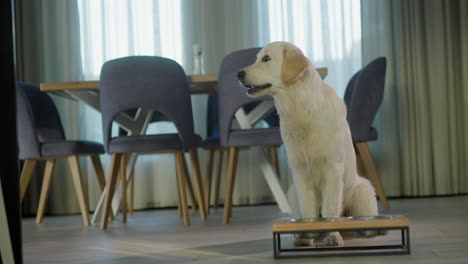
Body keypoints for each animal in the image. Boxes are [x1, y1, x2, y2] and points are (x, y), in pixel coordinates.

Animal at [239, 40, 378, 245]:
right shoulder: (301, 172)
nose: (238, 74)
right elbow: (309, 211)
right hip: (292, 192)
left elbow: (329, 209)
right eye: (257, 58)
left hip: (362, 191)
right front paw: (307, 236)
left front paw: (332, 235)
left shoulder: (332, 169)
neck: (301, 110)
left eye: (266, 58)